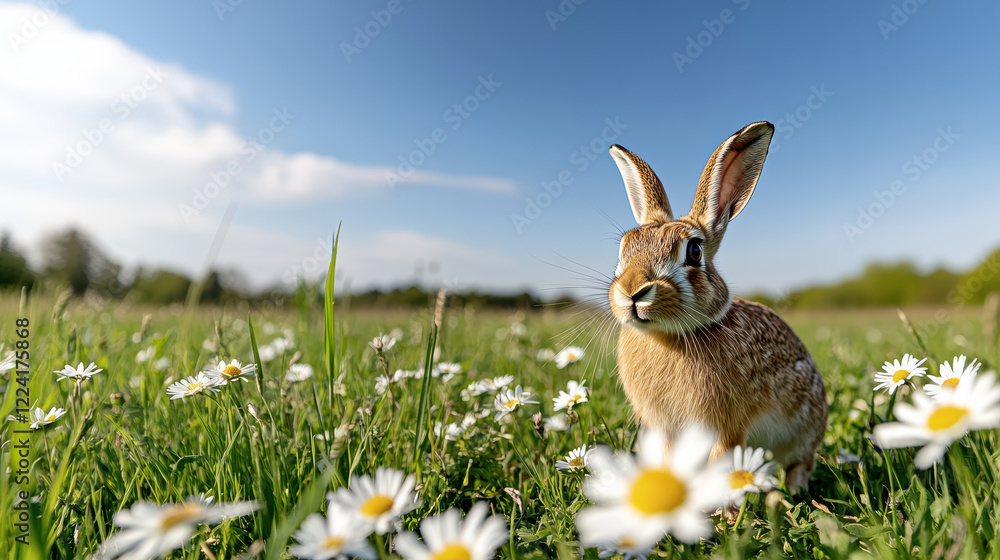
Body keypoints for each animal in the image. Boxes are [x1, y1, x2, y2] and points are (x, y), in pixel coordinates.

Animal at [606, 121, 827, 492]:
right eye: (624, 248)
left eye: (694, 252)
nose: (633, 292)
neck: (668, 337)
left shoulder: (725, 428)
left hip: (803, 431)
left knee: (801, 464)